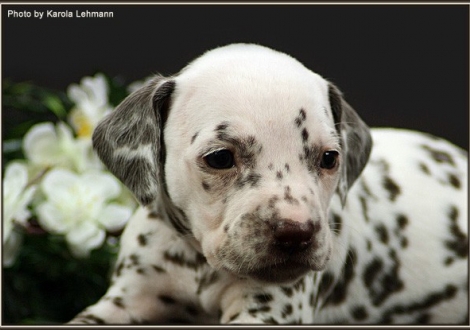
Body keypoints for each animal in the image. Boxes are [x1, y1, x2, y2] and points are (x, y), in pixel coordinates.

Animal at [69, 42, 466, 324]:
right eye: (220, 158)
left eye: (329, 158)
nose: (297, 232)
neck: (199, 265)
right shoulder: (126, 297)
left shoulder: (269, 308)